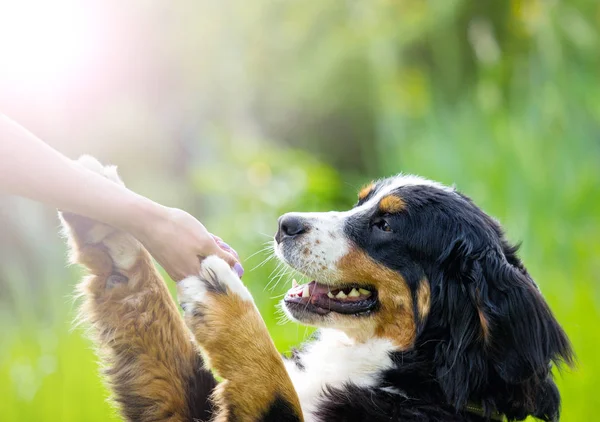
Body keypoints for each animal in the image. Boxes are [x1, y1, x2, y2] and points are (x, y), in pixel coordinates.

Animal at [59, 157, 572, 422]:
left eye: (386, 224)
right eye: (360, 202)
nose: (285, 224)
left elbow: (273, 385)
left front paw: (225, 297)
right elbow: (149, 313)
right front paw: (109, 227)